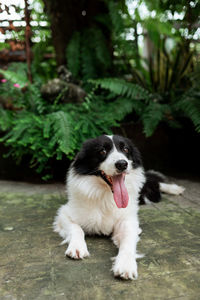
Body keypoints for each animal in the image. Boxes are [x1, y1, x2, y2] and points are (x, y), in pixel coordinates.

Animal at [53, 135, 184, 280]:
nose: (122, 164)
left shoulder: (127, 220)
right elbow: (77, 229)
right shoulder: (64, 213)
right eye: (102, 151)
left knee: (153, 181)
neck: (106, 196)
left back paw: (175, 189)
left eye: (125, 149)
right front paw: (77, 247)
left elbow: (128, 241)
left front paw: (126, 264)